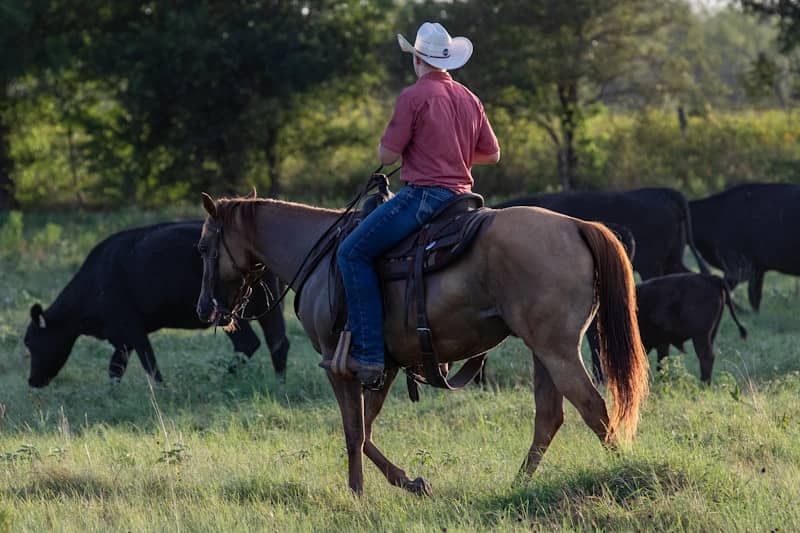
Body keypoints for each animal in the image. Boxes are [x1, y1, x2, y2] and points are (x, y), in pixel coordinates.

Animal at [195, 192, 649, 495]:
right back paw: (517, 484)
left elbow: (353, 432)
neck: (320, 256)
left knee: (594, 409)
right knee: (550, 417)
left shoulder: (337, 364)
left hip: (557, 351)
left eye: (202, 246)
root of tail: (576, 225)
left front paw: (357, 493)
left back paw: (622, 475)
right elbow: (367, 430)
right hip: (544, 353)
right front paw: (410, 481)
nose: (204, 308)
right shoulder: (385, 365)